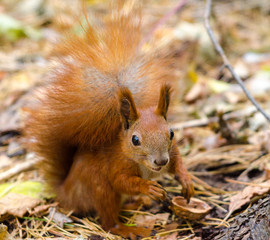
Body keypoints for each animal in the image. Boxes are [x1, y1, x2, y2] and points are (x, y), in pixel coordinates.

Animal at [25, 2, 194, 239]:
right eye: (135, 140)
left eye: (171, 133)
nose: (160, 161)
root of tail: (67, 193)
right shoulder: (116, 165)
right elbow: (121, 181)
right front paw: (148, 188)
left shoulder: (173, 152)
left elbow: (178, 162)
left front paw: (186, 180)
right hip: (101, 190)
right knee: (108, 221)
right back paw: (129, 228)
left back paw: (137, 204)